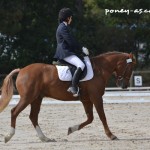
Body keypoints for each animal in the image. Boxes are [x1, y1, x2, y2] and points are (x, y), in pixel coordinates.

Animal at [0, 51, 135, 143]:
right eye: (130, 68)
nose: (124, 85)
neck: (100, 69)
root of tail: (22, 70)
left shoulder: (86, 99)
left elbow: (90, 118)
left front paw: (71, 129)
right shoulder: (96, 97)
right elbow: (102, 117)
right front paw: (111, 135)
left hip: (36, 98)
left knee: (33, 116)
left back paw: (45, 138)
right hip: (28, 97)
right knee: (14, 112)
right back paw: (8, 136)